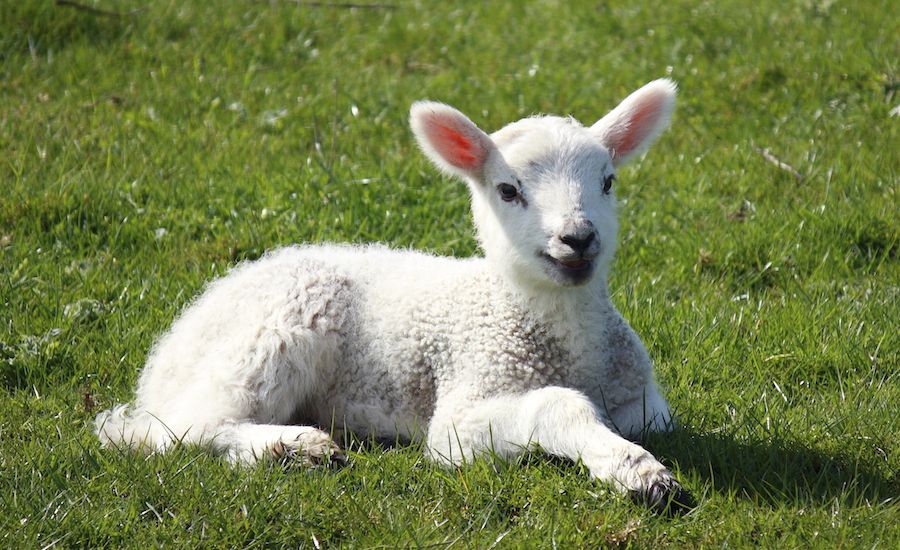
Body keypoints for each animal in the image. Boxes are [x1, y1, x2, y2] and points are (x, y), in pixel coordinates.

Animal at [96, 80, 688, 516]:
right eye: (508, 190)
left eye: (608, 181)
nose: (577, 238)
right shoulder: (462, 411)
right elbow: (555, 405)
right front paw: (639, 472)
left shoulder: (644, 404)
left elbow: (646, 422)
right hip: (269, 335)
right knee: (181, 431)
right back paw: (295, 448)